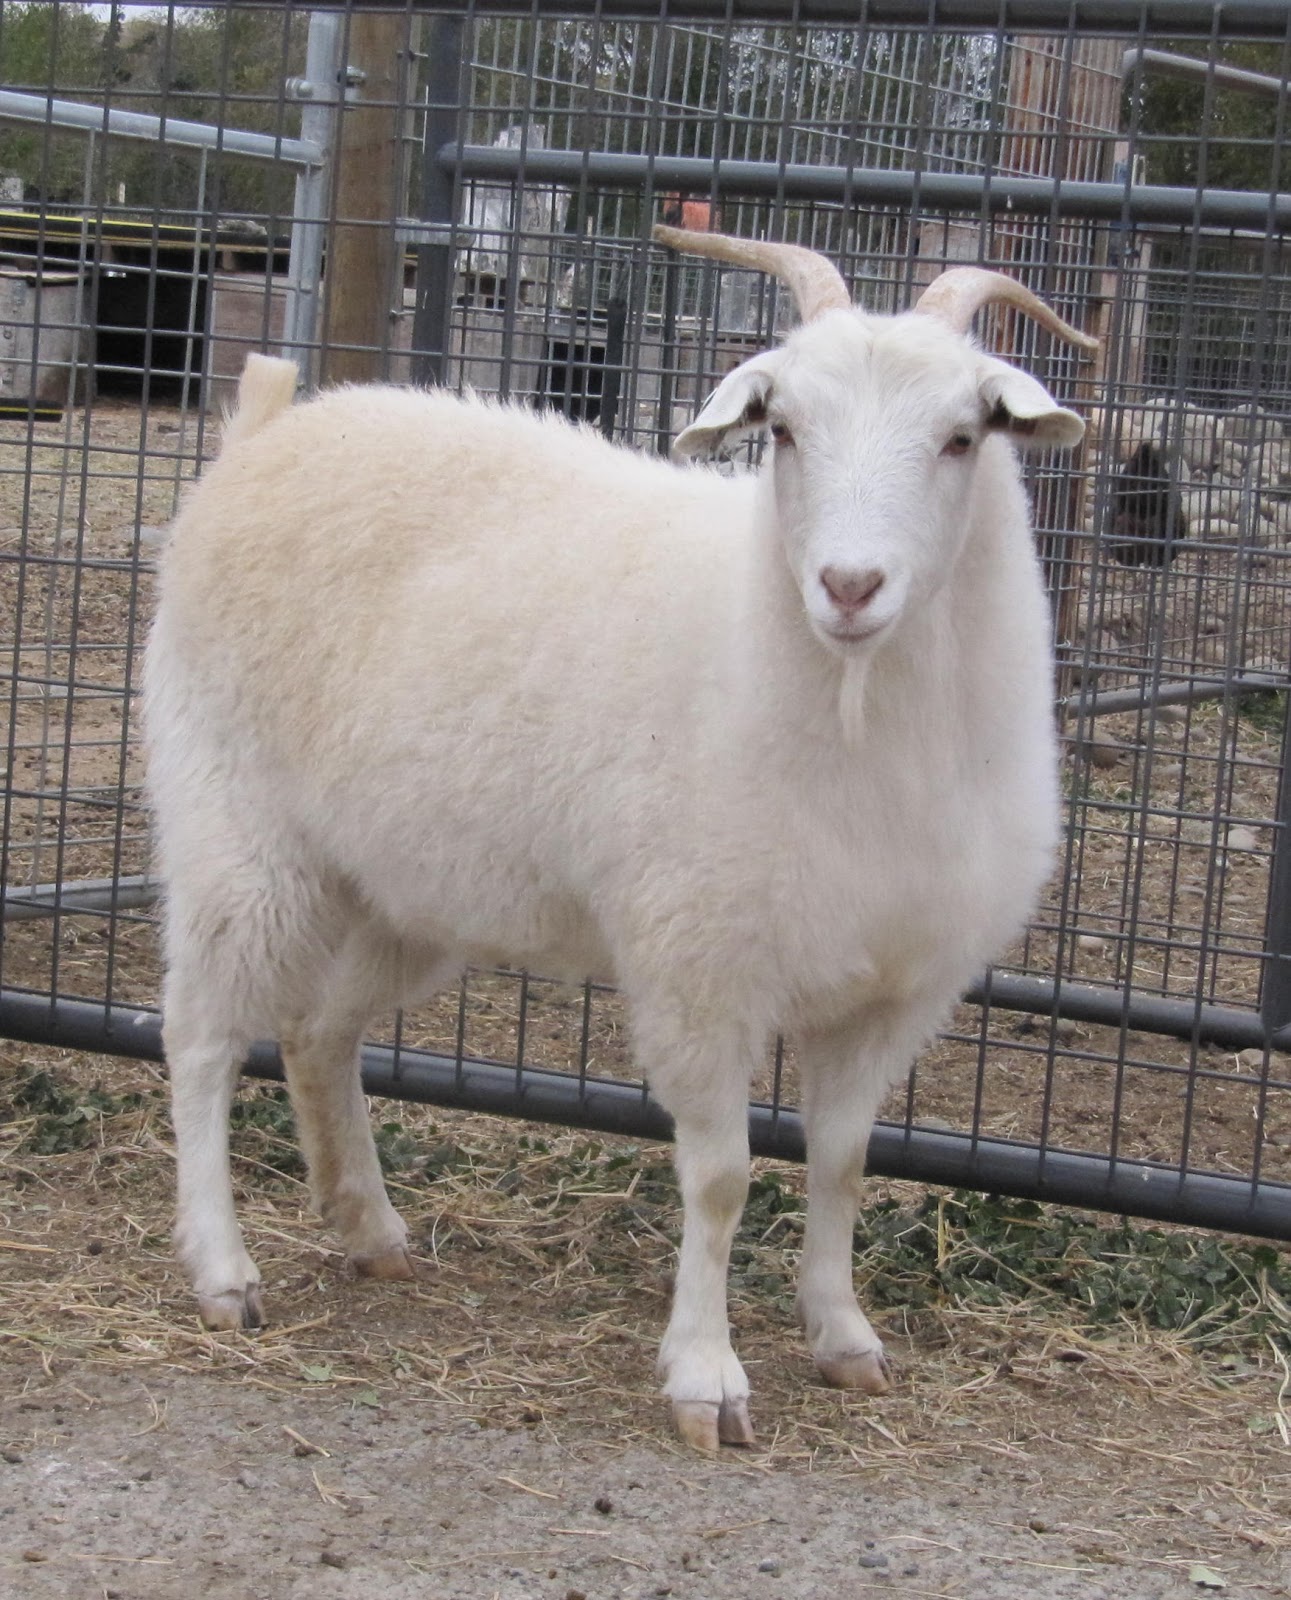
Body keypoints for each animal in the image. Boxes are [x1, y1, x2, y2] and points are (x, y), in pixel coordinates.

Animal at [143, 227, 1094, 1451]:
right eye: (783, 429)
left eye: (962, 436)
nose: (848, 586)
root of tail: (264, 435)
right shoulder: (699, 965)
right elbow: (721, 1176)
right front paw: (706, 1375)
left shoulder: (893, 989)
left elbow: (840, 1163)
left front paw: (843, 1336)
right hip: (236, 827)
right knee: (203, 1036)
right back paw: (222, 1269)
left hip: (406, 885)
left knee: (318, 1030)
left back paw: (370, 1229)